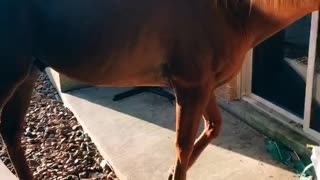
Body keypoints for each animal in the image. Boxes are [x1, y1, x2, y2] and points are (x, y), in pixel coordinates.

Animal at [0, 0, 318, 179]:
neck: (231, 11)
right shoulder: (190, 86)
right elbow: (182, 147)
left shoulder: (203, 86)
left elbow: (212, 128)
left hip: (26, 75)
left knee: (12, 135)